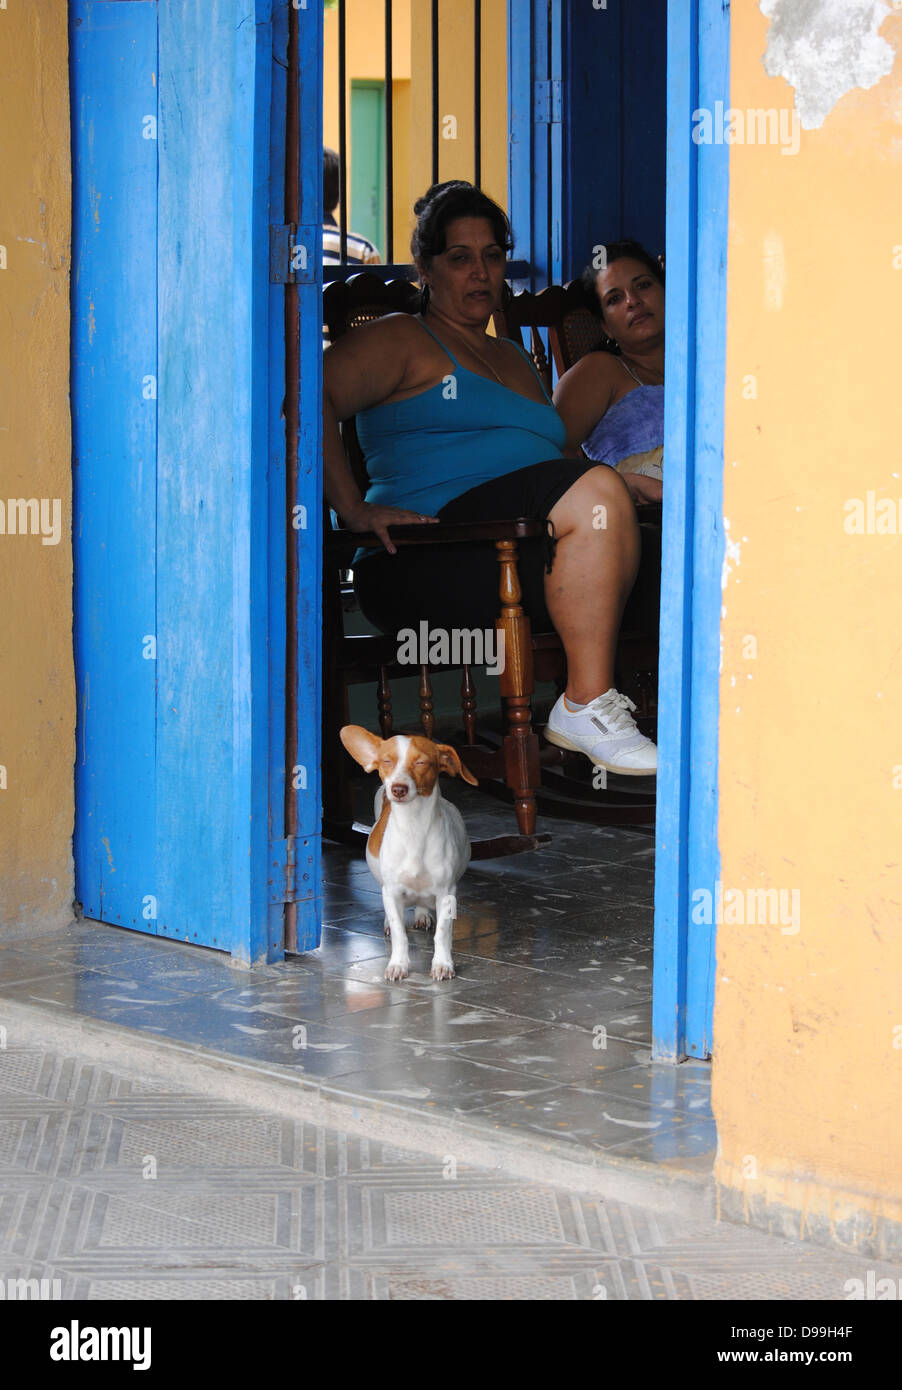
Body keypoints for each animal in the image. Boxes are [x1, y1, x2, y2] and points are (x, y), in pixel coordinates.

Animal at [337, 722, 478, 984]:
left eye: (421, 762)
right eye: (386, 761)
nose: (398, 788)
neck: (414, 829)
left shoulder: (446, 894)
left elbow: (442, 933)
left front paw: (442, 964)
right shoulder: (392, 891)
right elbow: (399, 933)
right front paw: (398, 965)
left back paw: (422, 913)